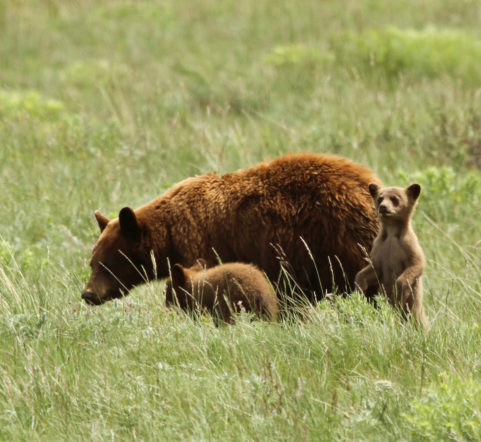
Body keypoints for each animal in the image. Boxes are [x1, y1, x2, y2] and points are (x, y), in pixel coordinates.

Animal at [83, 152, 382, 304]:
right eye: (92, 262)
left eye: (107, 264)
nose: (88, 294)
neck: (169, 236)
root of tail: (368, 184)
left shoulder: (202, 246)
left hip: (339, 241)